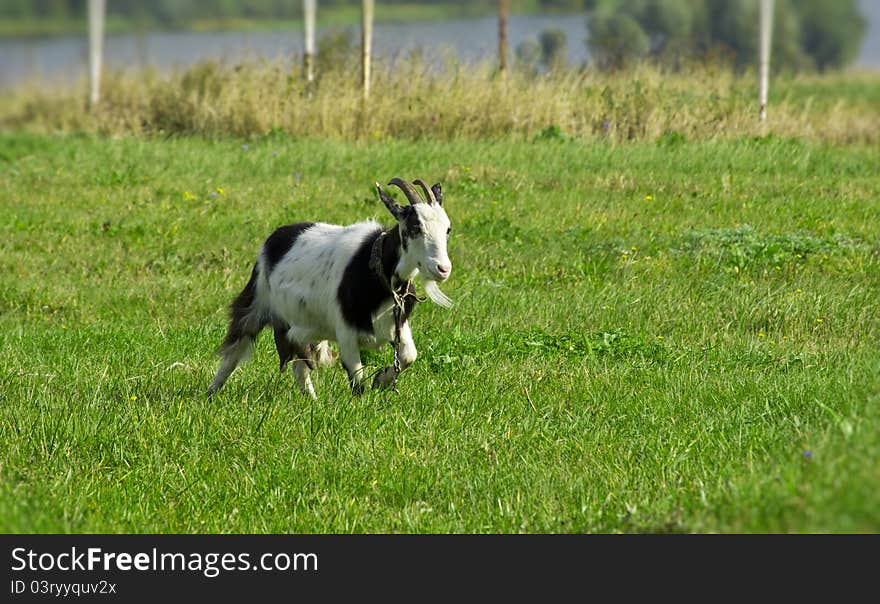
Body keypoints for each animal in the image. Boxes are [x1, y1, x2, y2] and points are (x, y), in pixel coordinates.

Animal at [207, 177, 454, 398]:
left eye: (448, 229)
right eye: (415, 227)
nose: (443, 269)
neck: (375, 268)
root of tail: (273, 239)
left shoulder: (397, 325)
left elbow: (409, 356)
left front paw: (381, 379)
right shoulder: (346, 332)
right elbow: (357, 381)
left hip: (303, 325)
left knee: (299, 360)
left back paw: (312, 400)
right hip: (257, 301)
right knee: (235, 349)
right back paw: (211, 393)